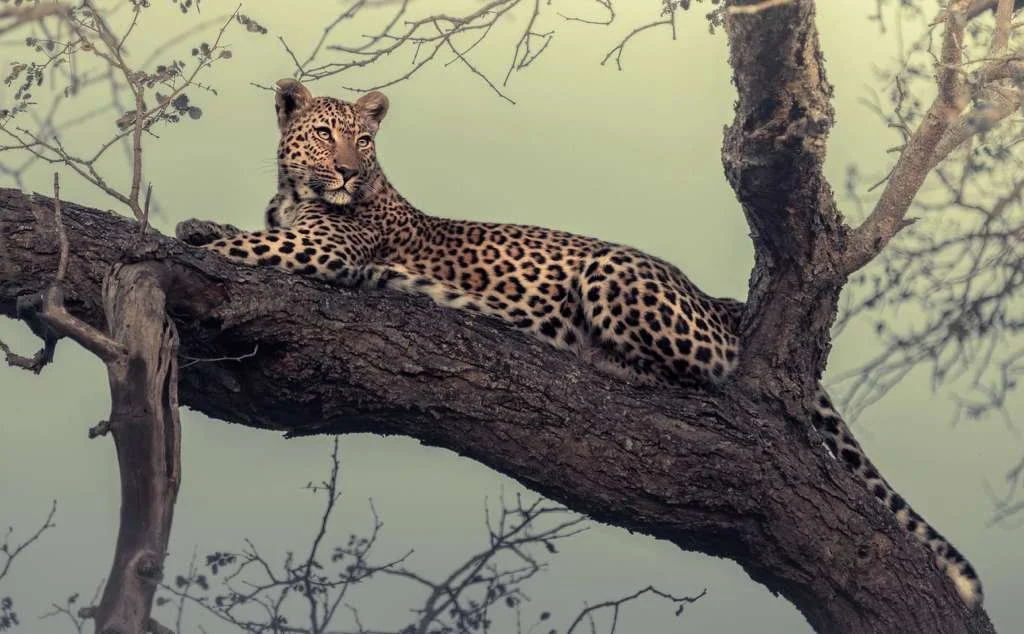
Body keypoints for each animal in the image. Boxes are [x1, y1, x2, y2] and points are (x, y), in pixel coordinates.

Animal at [176, 78, 983, 608]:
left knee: (703, 378)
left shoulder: (322, 251)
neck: (298, 194)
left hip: (610, 276)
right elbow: (238, 231)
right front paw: (195, 223)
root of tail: (719, 300)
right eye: (323, 134)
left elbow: (246, 246)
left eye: (363, 140)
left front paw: (187, 237)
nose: (346, 170)